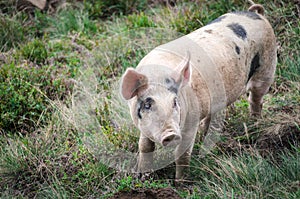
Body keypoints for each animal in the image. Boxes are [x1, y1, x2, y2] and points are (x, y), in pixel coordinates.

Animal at [119, 3, 276, 180]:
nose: (171, 134)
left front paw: (180, 182)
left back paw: (255, 123)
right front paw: (143, 176)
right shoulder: (142, 127)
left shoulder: (190, 121)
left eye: (174, 102)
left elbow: (182, 154)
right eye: (147, 104)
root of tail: (257, 14)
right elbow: (144, 147)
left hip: (267, 67)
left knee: (255, 99)